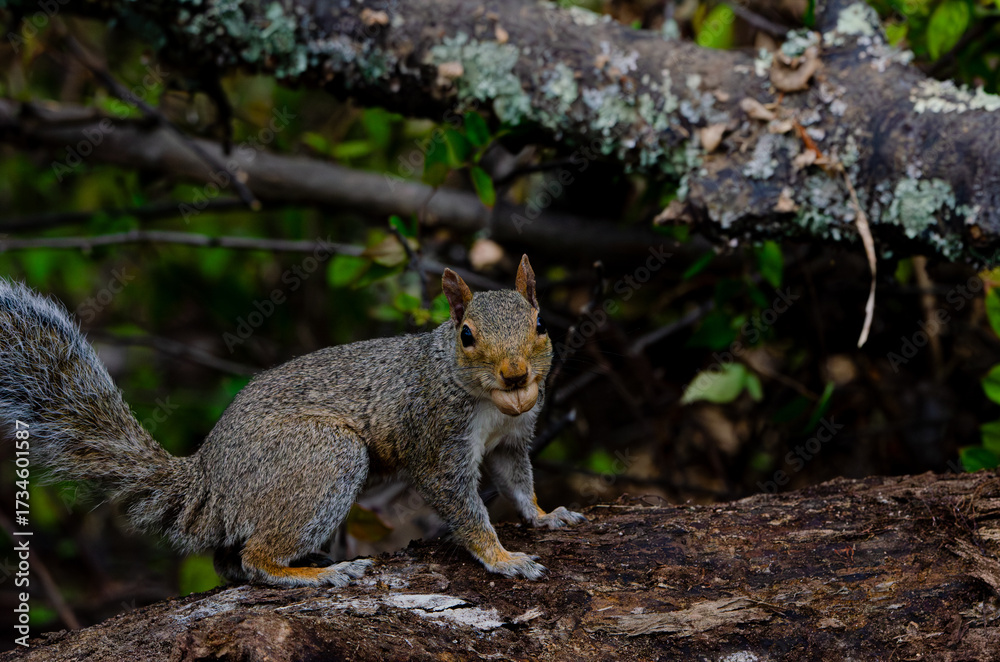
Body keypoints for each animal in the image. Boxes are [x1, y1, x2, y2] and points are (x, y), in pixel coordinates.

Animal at [0, 255, 586, 587]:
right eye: (467, 336)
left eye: (540, 324)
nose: (515, 375)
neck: (490, 404)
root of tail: (210, 479)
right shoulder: (437, 437)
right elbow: (464, 509)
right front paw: (503, 558)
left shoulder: (511, 440)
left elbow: (517, 481)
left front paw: (544, 515)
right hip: (321, 459)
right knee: (255, 561)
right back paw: (321, 573)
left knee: (231, 564)